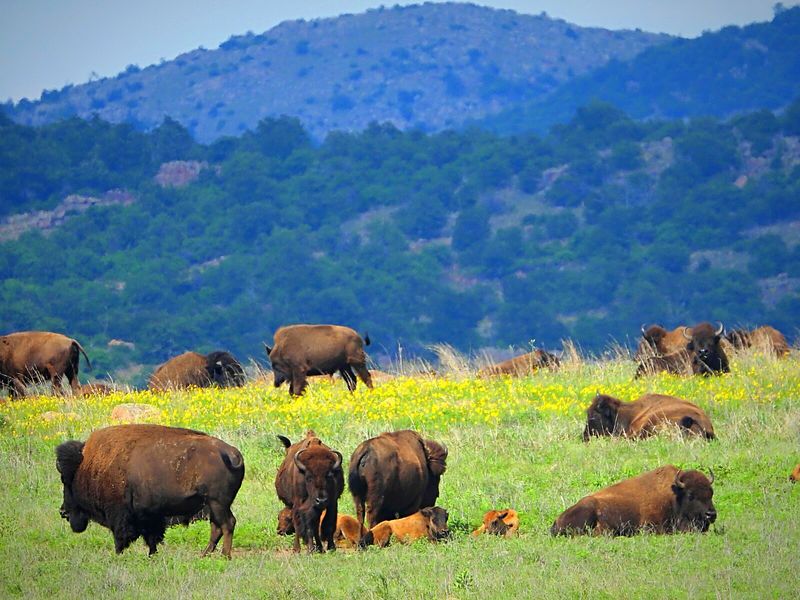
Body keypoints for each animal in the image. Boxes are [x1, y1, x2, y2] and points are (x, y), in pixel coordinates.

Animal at [55, 424, 244, 557]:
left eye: (66, 480)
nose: (63, 511)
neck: (89, 467)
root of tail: (232, 453)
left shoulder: (120, 515)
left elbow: (121, 537)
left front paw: (119, 555)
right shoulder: (150, 515)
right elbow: (152, 538)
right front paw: (152, 555)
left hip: (217, 503)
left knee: (227, 524)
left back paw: (225, 556)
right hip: (213, 504)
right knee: (217, 527)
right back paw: (204, 555)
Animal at [551, 465, 716, 536]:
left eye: (711, 493)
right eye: (690, 495)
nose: (711, 514)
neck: (674, 496)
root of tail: (556, 521)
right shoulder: (649, 526)